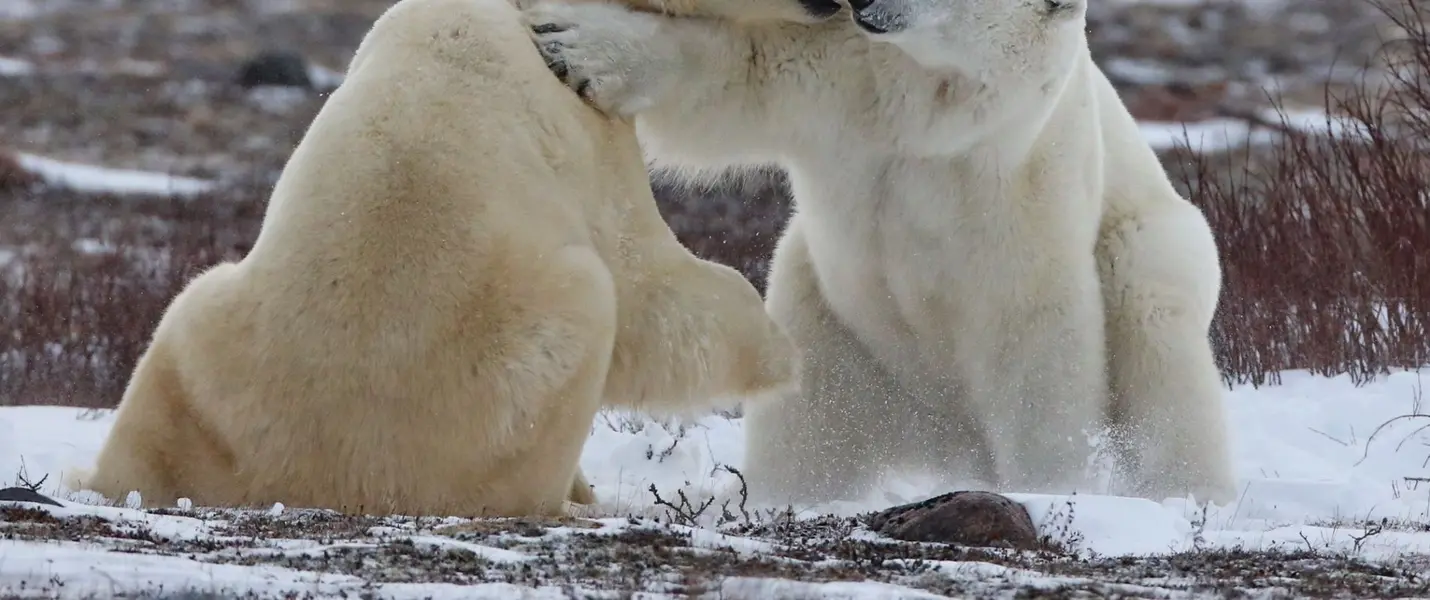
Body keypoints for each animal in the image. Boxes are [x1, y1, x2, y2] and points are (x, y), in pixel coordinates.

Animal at [69, 0, 806, 520]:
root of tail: (341, 475)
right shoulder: (584, 116)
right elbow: (647, 278)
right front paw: (783, 353)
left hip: (203, 353)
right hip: (505, 381)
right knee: (589, 309)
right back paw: (581, 502)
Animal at [526, 0, 1241, 505]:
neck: (929, 99)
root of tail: (950, 437)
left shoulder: (1017, 174)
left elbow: (1032, 330)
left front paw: (1052, 485)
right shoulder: (844, 77)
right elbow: (740, 69)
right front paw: (564, 38)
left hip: (1159, 243)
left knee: (1155, 321)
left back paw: (1177, 492)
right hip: (837, 332)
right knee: (808, 423)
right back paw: (781, 496)